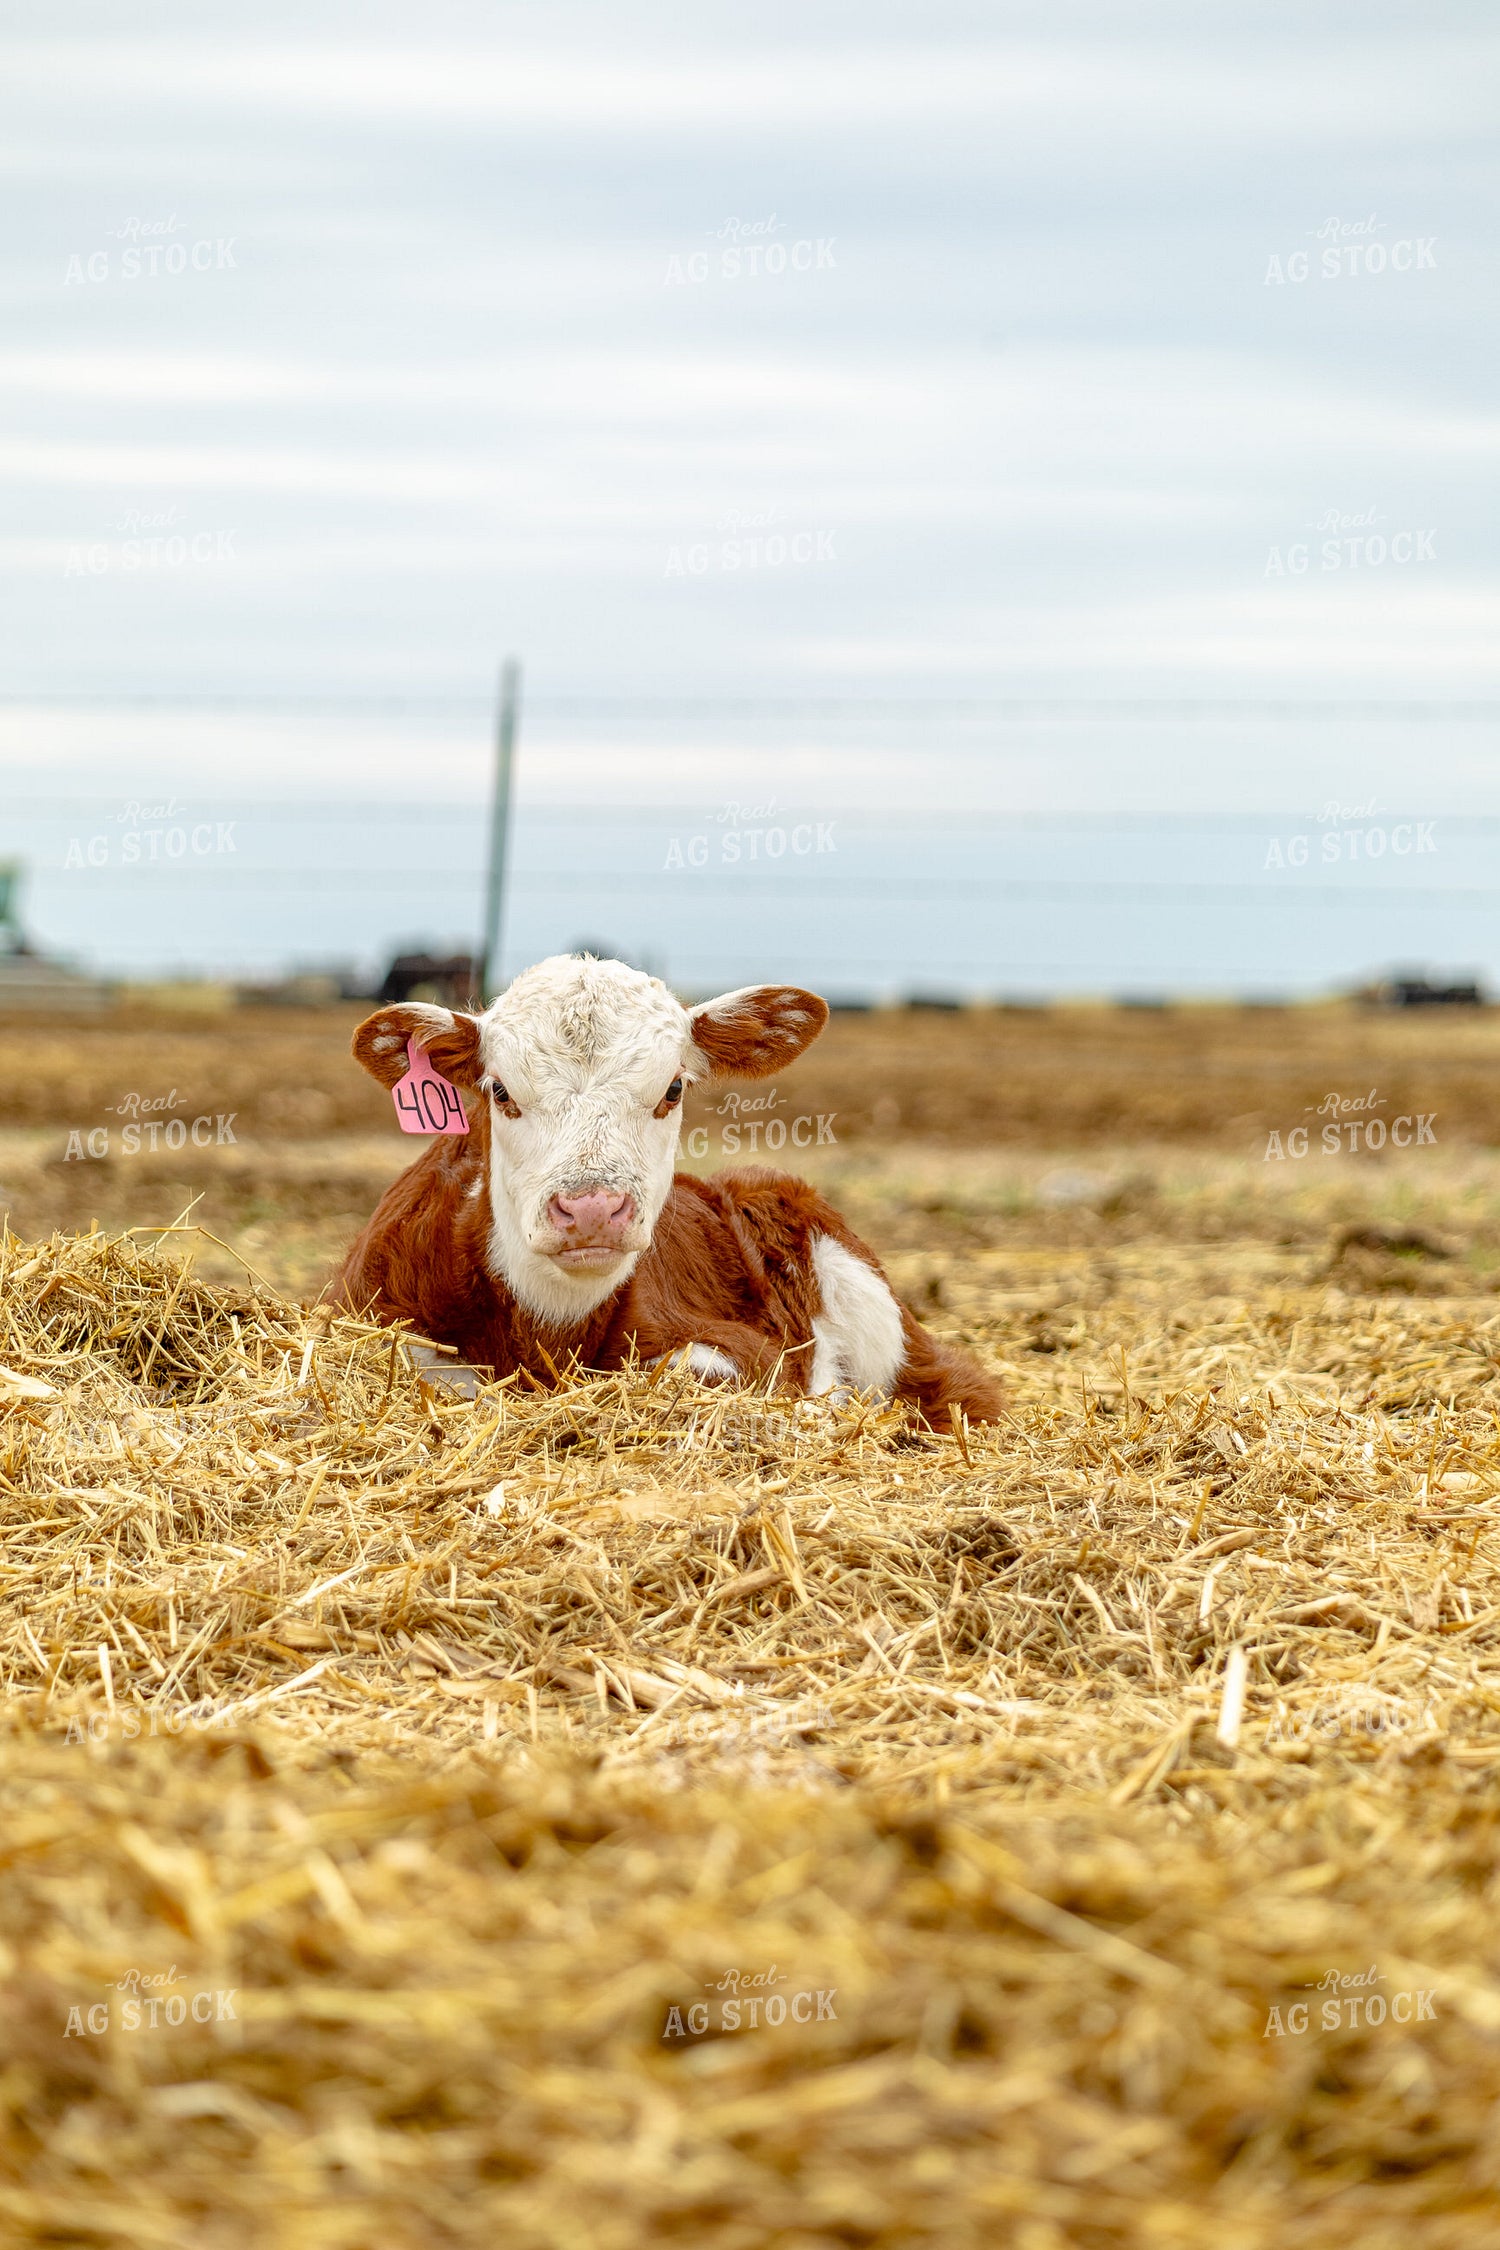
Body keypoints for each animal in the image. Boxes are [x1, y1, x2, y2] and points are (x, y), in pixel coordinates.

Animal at [335, 954, 1003, 1425]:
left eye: (673, 1089)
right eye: (499, 1091)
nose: (592, 1209)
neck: (545, 1321)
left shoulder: (750, 1352)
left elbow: (686, 1372)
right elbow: (442, 1374)